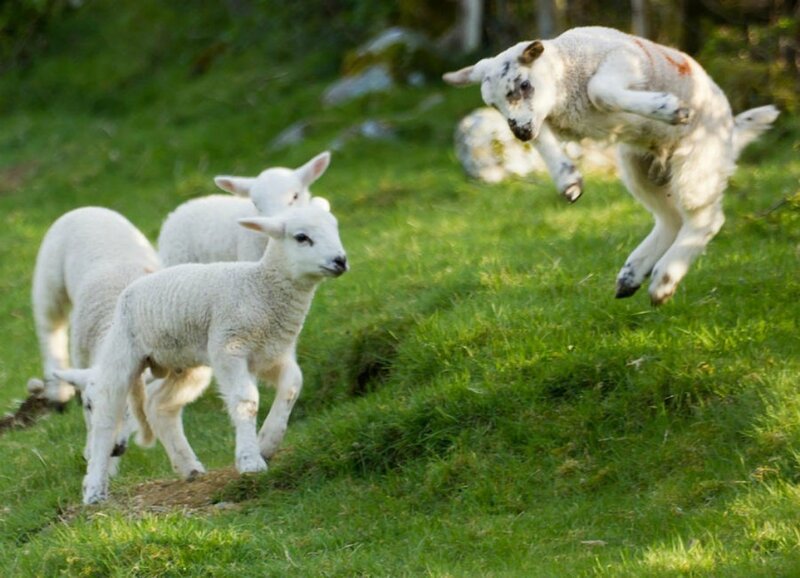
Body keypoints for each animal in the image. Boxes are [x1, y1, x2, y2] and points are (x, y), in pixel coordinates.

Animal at [28, 207, 159, 472]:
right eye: (89, 406)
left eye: (127, 409)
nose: (114, 449)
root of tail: (87, 208)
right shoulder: (82, 358)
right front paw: (98, 457)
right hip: (49, 282)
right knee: (50, 329)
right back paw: (58, 392)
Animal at [56, 205, 349, 504]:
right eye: (301, 237)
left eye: (335, 228)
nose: (340, 261)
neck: (260, 290)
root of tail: (133, 286)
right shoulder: (229, 347)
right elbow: (246, 400)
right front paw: (250, 460)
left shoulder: (271, 354)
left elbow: (292, 385)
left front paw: (267, 442)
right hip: (122, 349)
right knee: (106, 415)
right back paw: (94, 488)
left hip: (183, 364)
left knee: (160, 406)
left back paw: (188, 467)